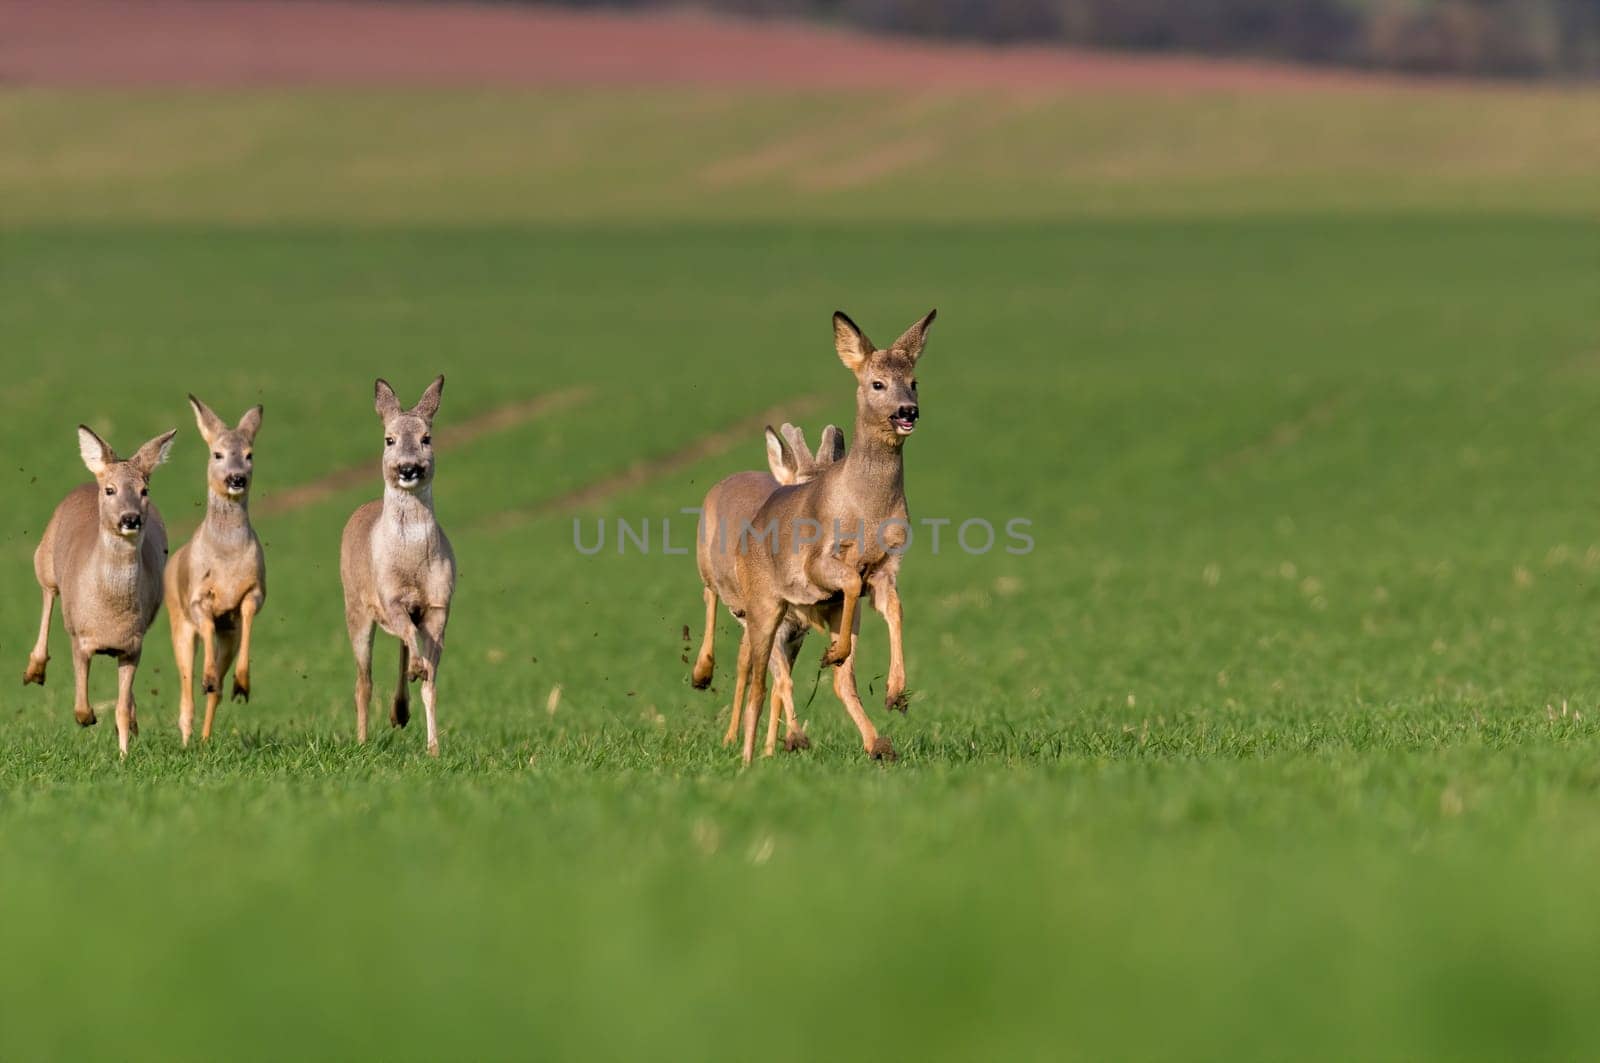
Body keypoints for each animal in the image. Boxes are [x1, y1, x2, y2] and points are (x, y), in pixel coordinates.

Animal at [23, 422, 178, 755]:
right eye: (110, 490)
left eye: (145, 490)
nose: (130, 518)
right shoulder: (80, 637)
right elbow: (80, 707)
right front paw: (91, 717)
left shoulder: (133, 644)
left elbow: (119, 706)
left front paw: (124, 753)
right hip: (43, 559)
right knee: (48, 593)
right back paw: (35, 671)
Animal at [164, 393, 264, 742]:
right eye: (217, 453)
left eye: (249, 454)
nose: (237, 478)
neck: (227, 558)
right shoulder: (196, 599)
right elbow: (205, 624)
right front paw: (206, 676)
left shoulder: (254, 593)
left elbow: (247, 612)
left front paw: (243, 683)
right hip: (178, 625)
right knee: (185, 693)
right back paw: (186, 739)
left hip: (227, 636)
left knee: (215, 693)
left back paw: (206, 739)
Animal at [339, 373, 454, 755]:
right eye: (388, 439)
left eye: (426, 438)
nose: (408, 468)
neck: (412, 562)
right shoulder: (389, 597)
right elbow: (406, 639)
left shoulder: (438, 604)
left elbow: (432, 686)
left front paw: (434, 749)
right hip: (355, 608)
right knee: (363, 680)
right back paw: (362, 741)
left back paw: (400, 711)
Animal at [697, 422, 851, 755]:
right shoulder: (775, 625)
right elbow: (782, 681)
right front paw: (793, 740)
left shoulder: (796, 633)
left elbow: (780, 682)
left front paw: (770, 749)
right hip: (708, 571)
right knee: (710, 599)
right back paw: (702, 677)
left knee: (744, 661)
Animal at [732, 307, 934, 765]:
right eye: (877, 383)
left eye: (914, 381)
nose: (908, 411)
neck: (867, 509)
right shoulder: (819, 562)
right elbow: (849, 579)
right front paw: (836, 651)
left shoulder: (887, 566)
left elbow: (895, 609)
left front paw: (896, 691)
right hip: (763, 605)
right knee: (758, 681)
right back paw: (749, 761)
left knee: (840, 683)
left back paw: (877, 745)